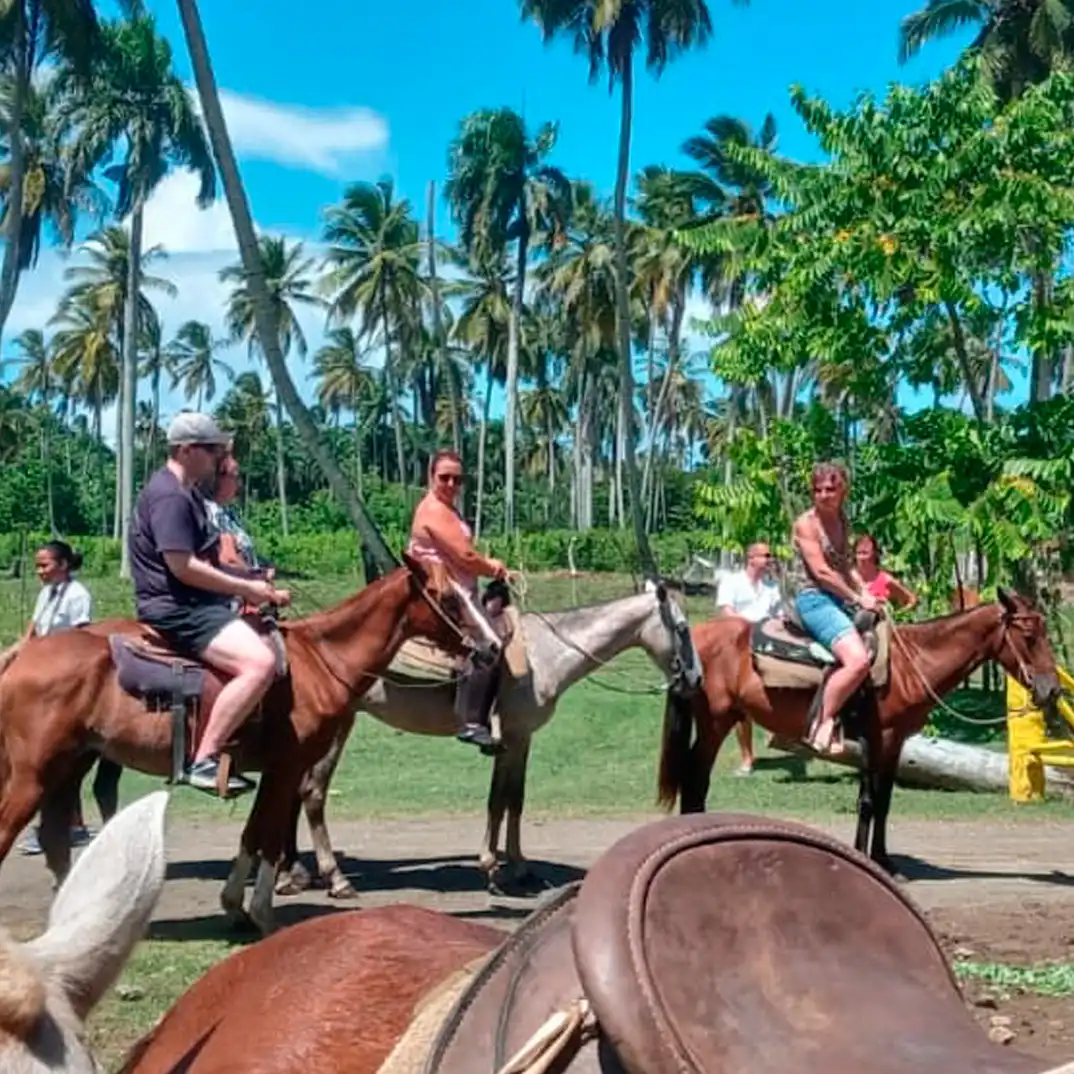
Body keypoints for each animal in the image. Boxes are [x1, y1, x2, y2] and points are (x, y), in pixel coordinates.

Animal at [0, 554, 483, 932]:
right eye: (450, 598)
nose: (490, 645)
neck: (319, 659)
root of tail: (23, 653)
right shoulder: (288, 766)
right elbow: (270, 837)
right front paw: (263, 912)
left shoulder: (275, 771)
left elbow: (253, 833)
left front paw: (235, 905)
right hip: (33, 775)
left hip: (69, 765)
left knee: (55, 839)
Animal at [652, 588, 1056, 872]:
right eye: (1029, 634)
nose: (1052, 690)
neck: (910, 664)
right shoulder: (882, 738)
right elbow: (870, 801)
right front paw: (874, 860)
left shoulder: (893, 743)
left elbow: (881, 801)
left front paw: (880, 858)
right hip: (715, 721)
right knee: (695, 778)